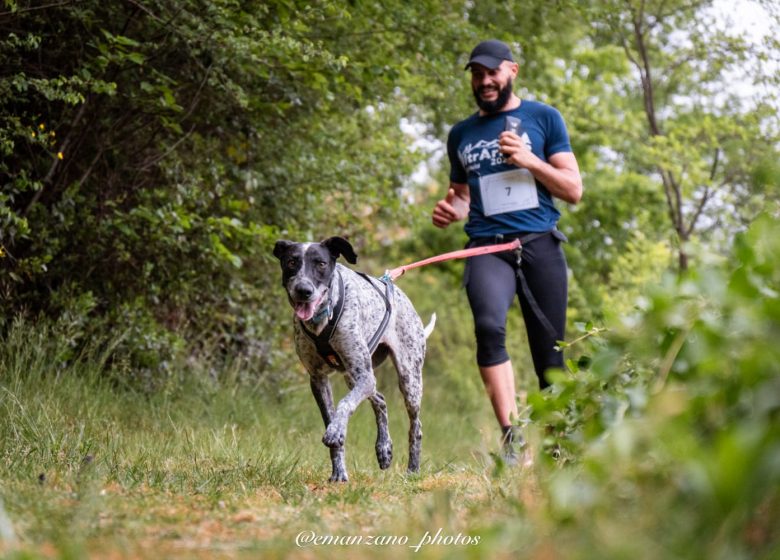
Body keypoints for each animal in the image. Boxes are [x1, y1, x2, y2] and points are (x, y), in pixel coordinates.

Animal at [272, 236, 432, 482]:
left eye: (321, 264)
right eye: (291, 262)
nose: (303, 290)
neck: (322, 319)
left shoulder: (364, 377)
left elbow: (344, 404)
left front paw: (336, 431)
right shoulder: (318, 380)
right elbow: (332, 419)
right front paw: (339, 471)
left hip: (408, 380)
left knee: (416, 426)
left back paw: (412, 469)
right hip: (353, 377)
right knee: (380, 400)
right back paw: (384, 448)